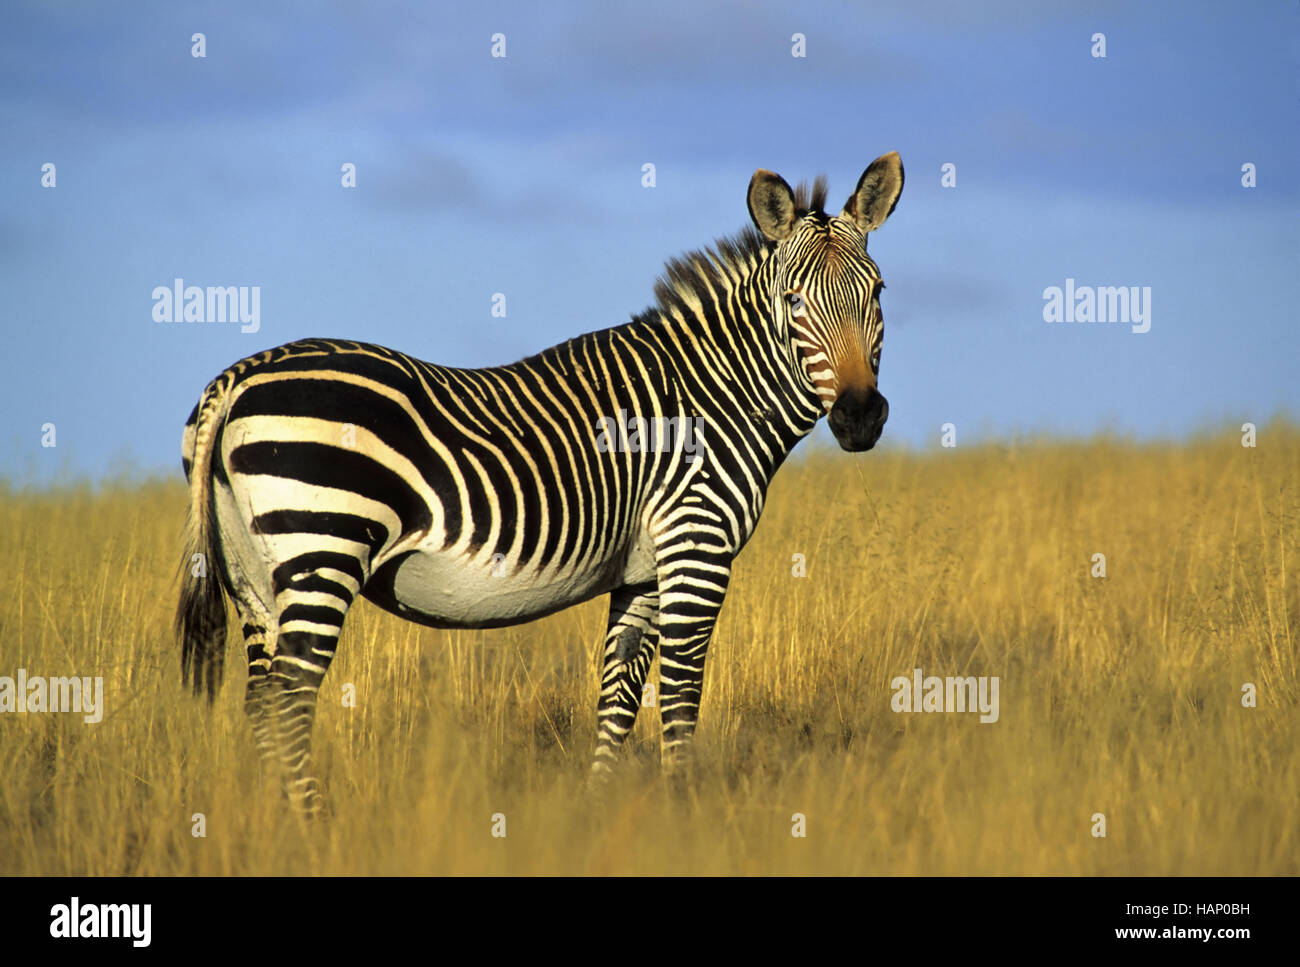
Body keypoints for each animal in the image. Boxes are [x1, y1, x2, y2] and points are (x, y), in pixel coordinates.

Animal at [176, 152, 903, 816]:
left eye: (878, 293)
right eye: (794, 303)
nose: (861, 416)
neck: (714, 394)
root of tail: (237, 377)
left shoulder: (642, 569)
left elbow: (618, 695)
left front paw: (596, 814)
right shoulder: (697, 545)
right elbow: (679, 695)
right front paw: (686, 814)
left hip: (253, 574)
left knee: (261, 706)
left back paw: (272, 826)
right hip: (322, 544)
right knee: (289, 704)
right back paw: (314, 827)